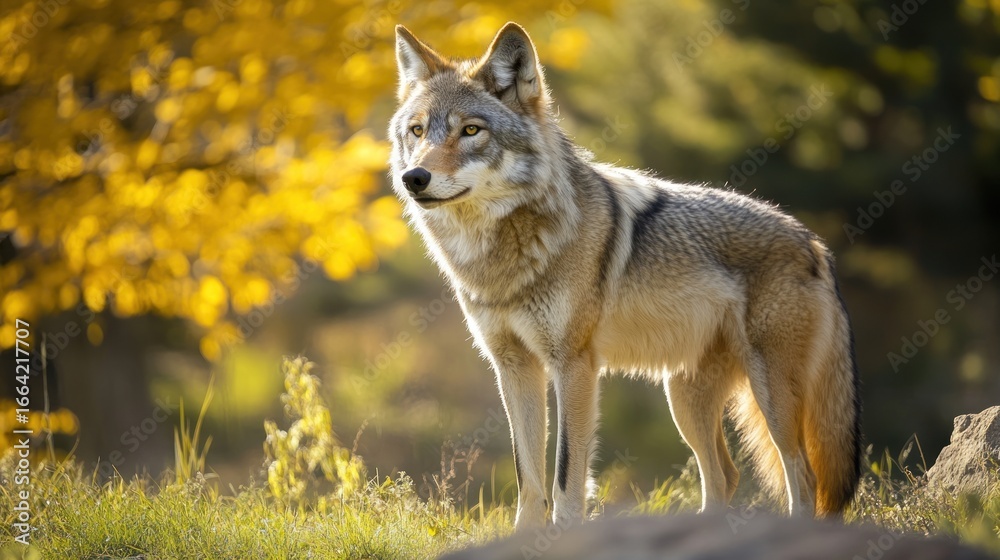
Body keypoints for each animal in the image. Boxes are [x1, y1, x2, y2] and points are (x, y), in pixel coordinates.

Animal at [388, 22, 862, 528]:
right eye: (418, 131)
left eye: (471, 130)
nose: (414, 178)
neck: (501, 257)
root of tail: (813, 243)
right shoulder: (514, 366)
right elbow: (528, 478)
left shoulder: (574, 365)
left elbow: (566, 475)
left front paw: (565, 534)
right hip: (685, 400)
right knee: (725, 475)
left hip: (769, 395)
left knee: (804, 477)